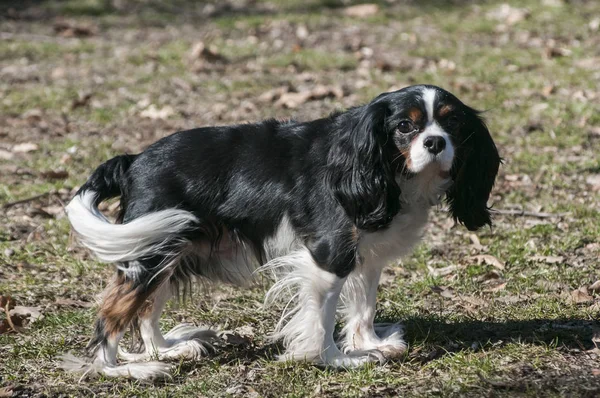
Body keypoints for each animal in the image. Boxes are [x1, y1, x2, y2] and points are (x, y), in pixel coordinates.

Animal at [62, 84, 502, 380]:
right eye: (405, 127)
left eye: (452, 122)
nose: (435, 142)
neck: (376, 166)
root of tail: (132, 160)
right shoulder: (328, 254)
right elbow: (321, 319)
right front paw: (336, 359)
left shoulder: (364, 255)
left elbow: (364, 305)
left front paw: (370, 344)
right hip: (151, 250)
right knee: (112, 314)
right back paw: (118, 370)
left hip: (167, 249)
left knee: (146, 309)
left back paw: (167, 350)